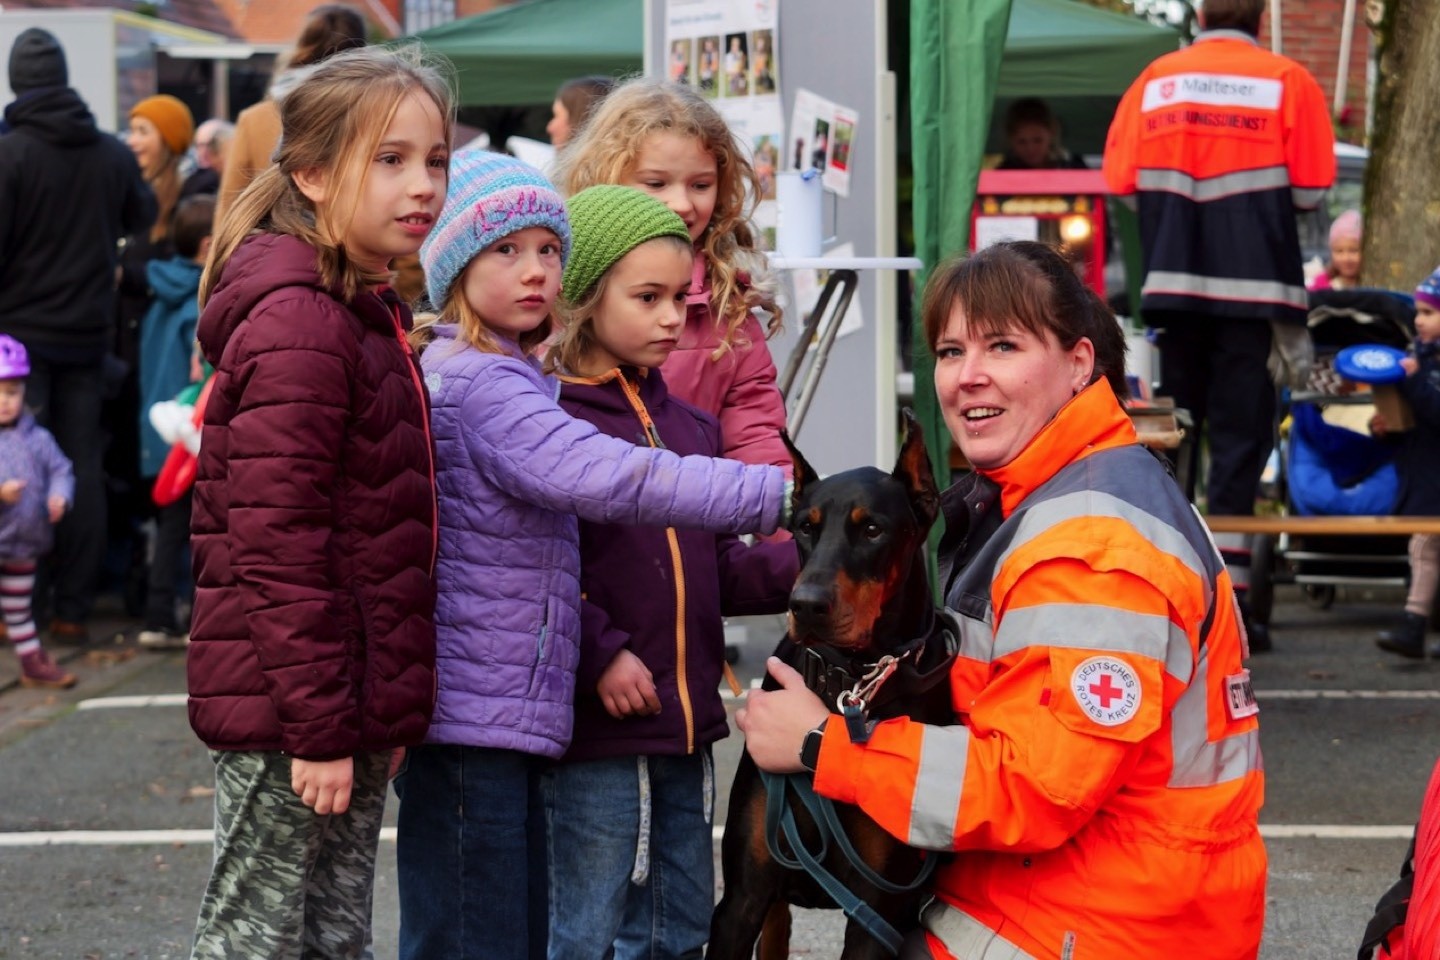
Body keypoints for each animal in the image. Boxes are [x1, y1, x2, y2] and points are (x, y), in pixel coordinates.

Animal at [708, 411, 956, 960]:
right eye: (805, 527)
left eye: (872, 529)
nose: (805, 605)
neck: (844, 683)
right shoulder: (740, 900)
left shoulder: (876, 913)